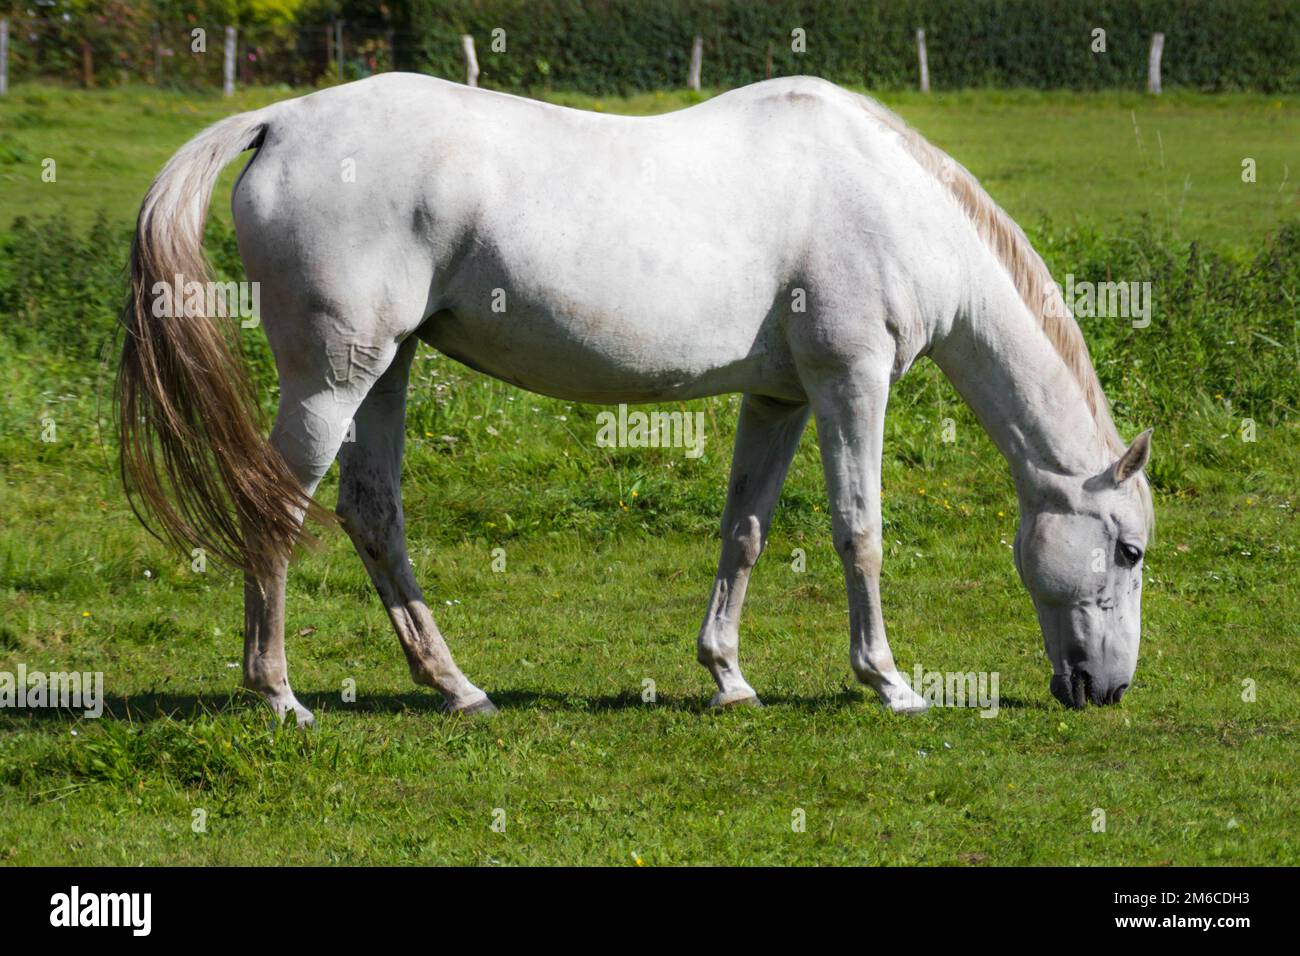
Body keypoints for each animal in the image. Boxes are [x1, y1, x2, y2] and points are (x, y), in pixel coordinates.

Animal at [116, 74, 1153, 723]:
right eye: (1129, 550)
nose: (1106, 688)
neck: (891, 203)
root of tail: (284, 121)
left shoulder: (777, 399)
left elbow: (746, 531)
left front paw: (729, 677)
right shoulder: (847, 381)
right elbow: (858, 530)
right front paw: (890, 684)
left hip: (388, 367)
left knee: (372, 515)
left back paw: (457, 688)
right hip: (335, 378)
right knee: (278, 511)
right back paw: (279, 696)